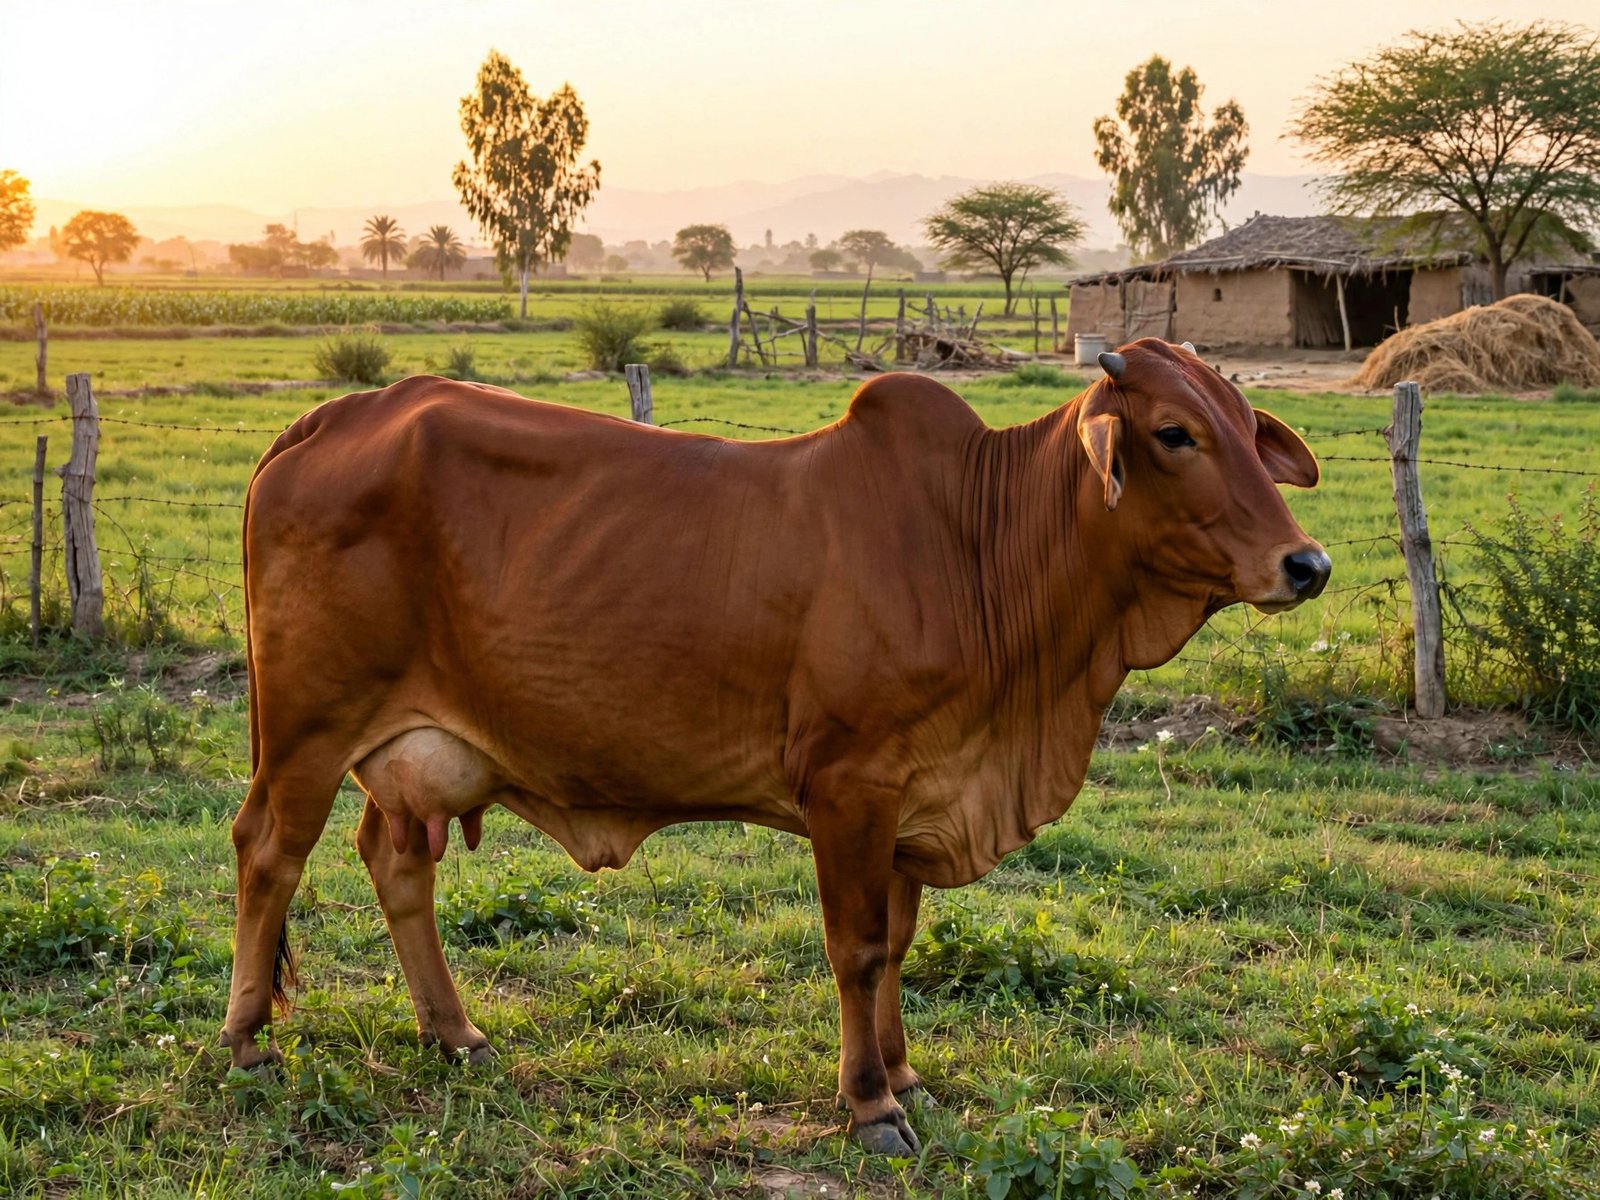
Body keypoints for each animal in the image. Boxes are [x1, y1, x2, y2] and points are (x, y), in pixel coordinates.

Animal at [221, 338, 1329, 1156]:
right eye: (1174, 433)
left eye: (1247, 429)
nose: (1305, 564)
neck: (982, 544)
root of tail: (331, 418)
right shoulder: (849, 785)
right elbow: (858, 948)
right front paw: (871, 1103)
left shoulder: (917, 793)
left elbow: (899, 945)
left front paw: (907, 1073)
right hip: (311, 726)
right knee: (269, 852)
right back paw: (247, 1041)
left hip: (415, 752)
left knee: (396, 864)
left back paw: (454, 1036)